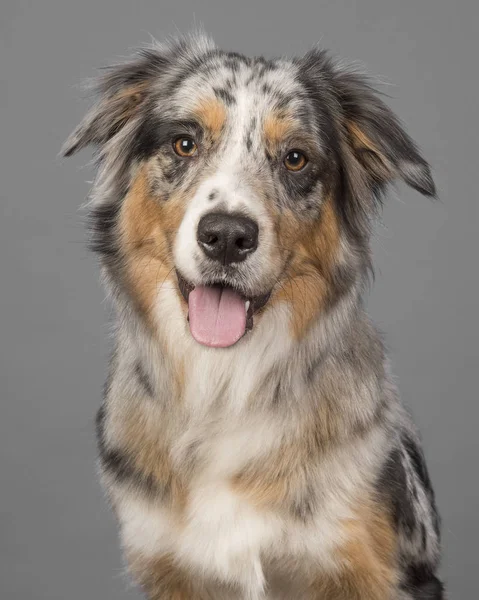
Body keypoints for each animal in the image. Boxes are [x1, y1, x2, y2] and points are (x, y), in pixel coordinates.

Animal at [63, 34, 446, 600]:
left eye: (295, 159)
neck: (223, 385)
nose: (226, 236)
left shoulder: (369, 567)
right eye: (184, 143)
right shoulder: (169, 565)